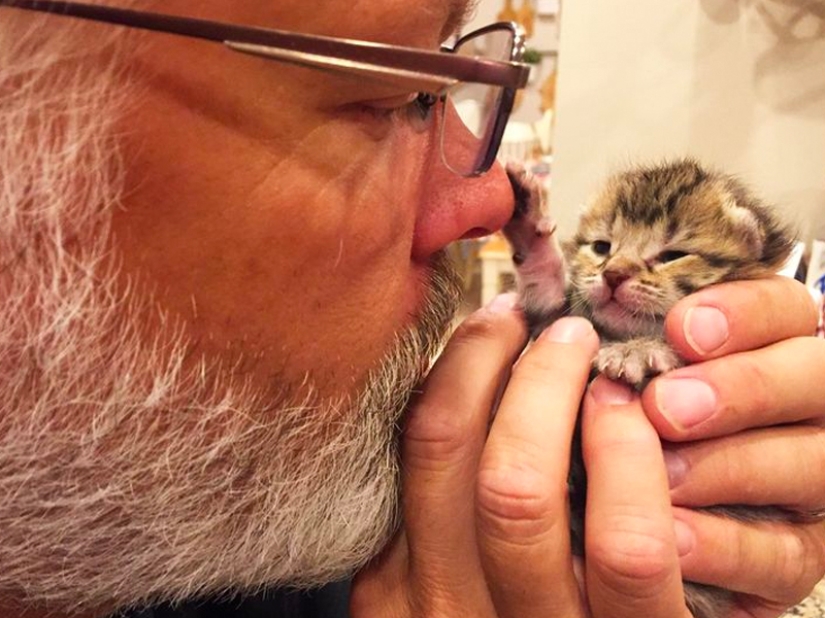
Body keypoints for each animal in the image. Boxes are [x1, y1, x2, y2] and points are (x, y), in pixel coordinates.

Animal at [502, 159, 800, 616]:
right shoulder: (560, 320)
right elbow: (548, 296)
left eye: (673, 255)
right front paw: (528, 228)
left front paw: (639, 352)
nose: (612, 275)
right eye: (602, 247)